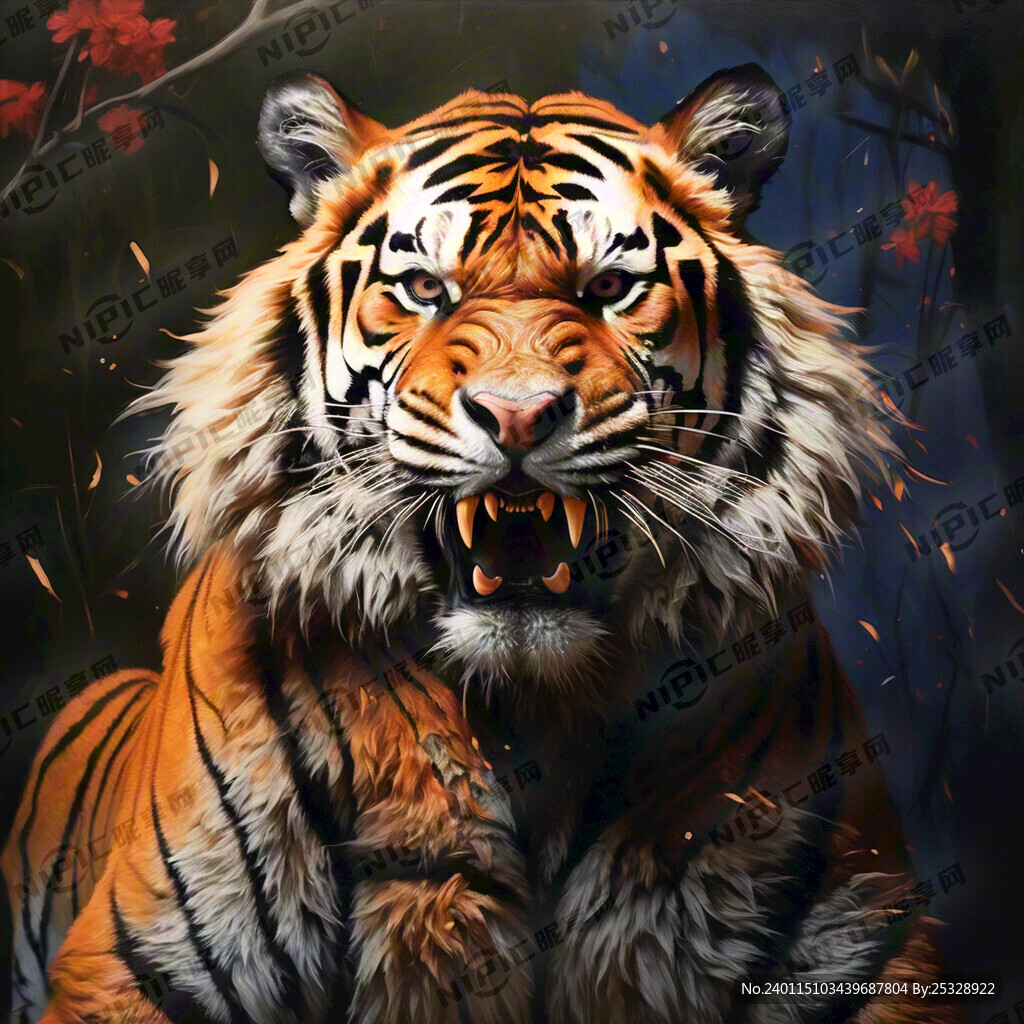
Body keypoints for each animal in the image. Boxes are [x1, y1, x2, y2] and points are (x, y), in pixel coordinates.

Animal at [2, 65, 966, 1024]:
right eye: (427, 288)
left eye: (607, 288)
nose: (517, 414)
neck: (529, 705)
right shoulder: (145, 965)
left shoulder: (864, 945)